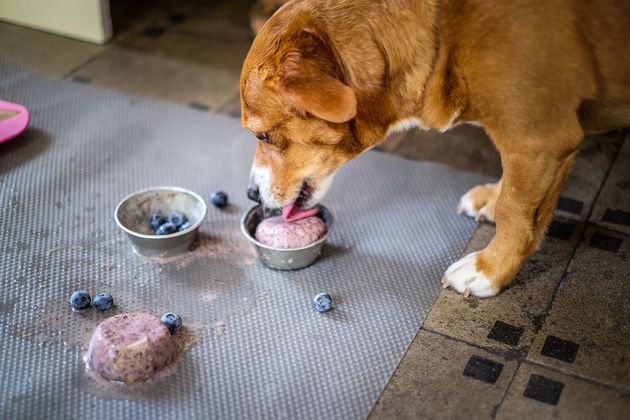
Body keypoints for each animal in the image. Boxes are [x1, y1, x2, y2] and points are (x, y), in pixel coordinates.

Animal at [241, 0, 630, 296]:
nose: (250, 194)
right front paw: (493, 197)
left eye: (262, 136)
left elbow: (516, 212)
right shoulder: (527, 147)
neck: (444, 33)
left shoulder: (539, 140)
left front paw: (491, 269)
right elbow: (510, 186)